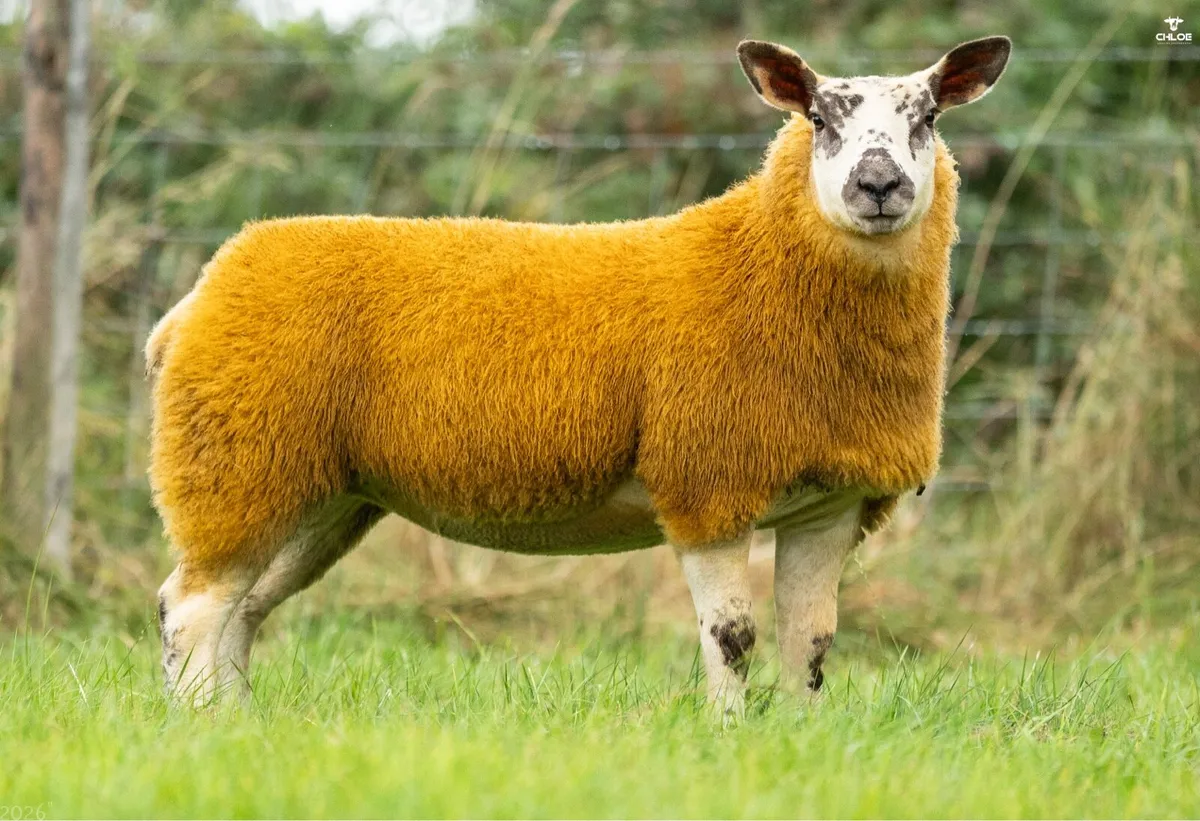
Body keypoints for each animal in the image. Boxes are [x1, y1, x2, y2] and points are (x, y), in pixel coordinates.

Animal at [149, 35, 1011, 712]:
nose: (879, 186)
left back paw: (237, 721)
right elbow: (733, 636)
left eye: (927, 118)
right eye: (820, 120)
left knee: (240, 610)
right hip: (239, 459)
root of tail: (197, 296)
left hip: (320, 490)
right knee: (191, 608)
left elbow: (813, 642)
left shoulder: (828, 500)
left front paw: (801, 738)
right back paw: (200, 729)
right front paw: (730, 736)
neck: (756, 263)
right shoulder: (706, 478)